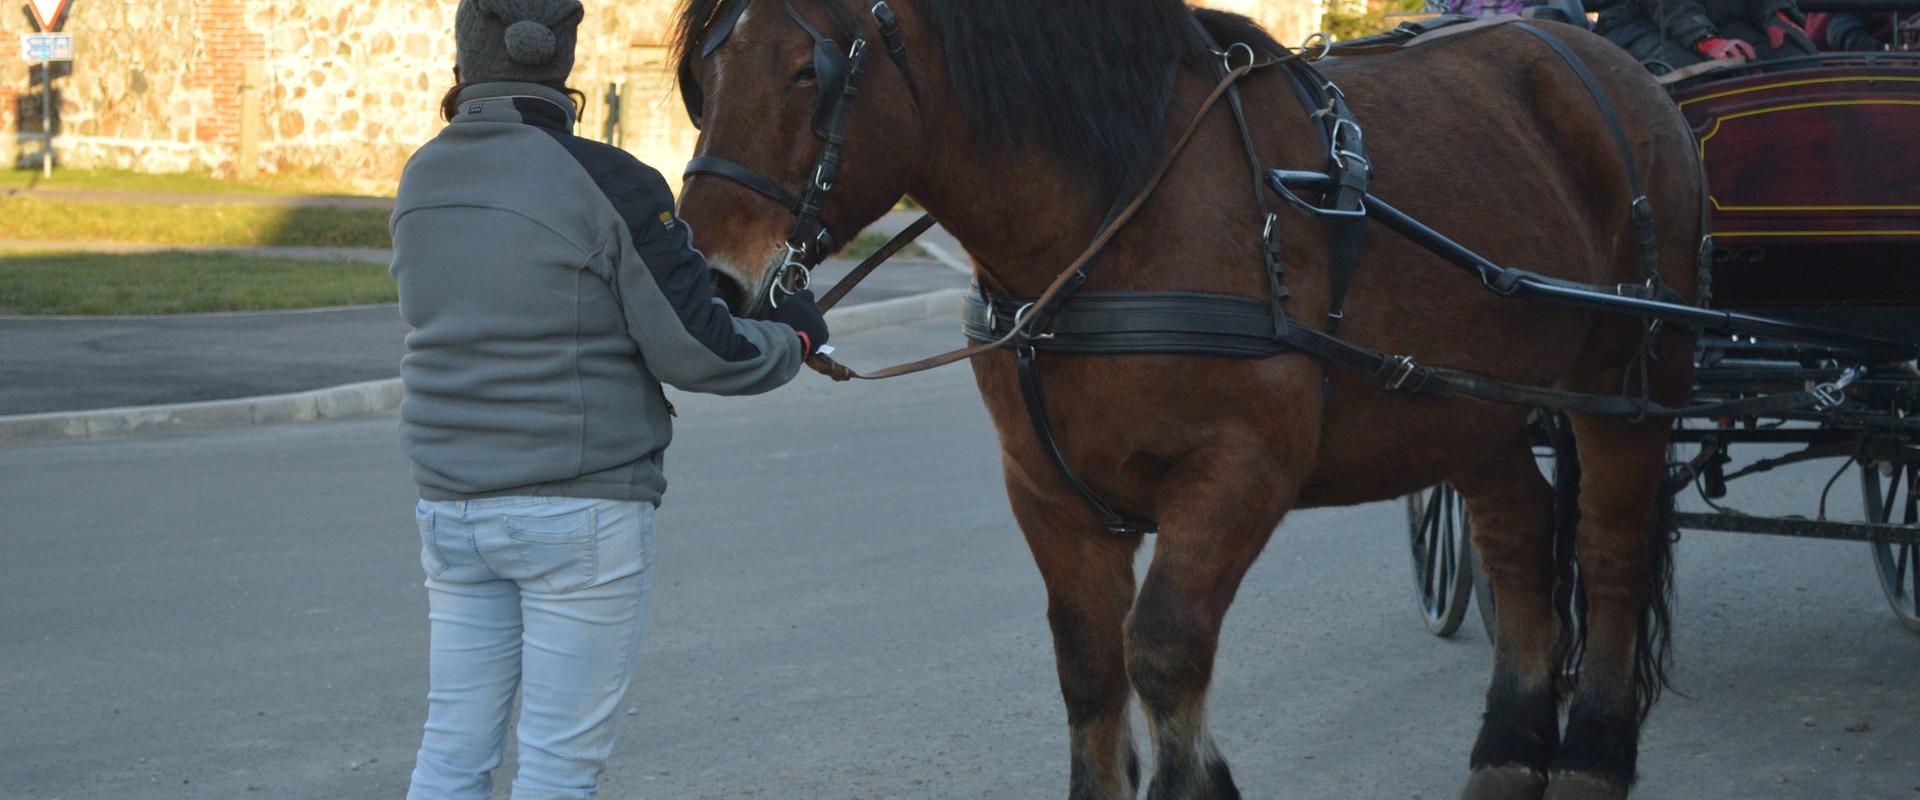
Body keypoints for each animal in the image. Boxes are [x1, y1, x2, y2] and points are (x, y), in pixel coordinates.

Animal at [672, 3, 1697, 794]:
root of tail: (1609, 68)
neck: (1108, 224)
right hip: (1469, 408)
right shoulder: (1047, 492)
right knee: (1520, 541)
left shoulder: (1238, 472)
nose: (709, 282)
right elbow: (1090, 671)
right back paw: (1509, 748)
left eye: (807, 71)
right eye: (704, 77)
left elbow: (1161, 652)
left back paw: (1594, 753)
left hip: (1624, 387)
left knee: (1609, 553)